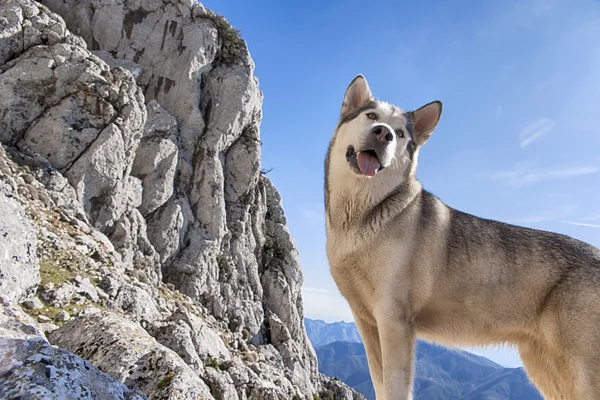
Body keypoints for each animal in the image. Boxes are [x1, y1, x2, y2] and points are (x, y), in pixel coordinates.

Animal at [326, 75, 600, 400]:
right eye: (371, 116)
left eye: (401, 133)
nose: (383, 134)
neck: (363, 216)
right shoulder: (367, 321)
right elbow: (380, 384)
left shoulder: (395, 321)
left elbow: (395, 388)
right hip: (543, 367)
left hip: (580, 372)